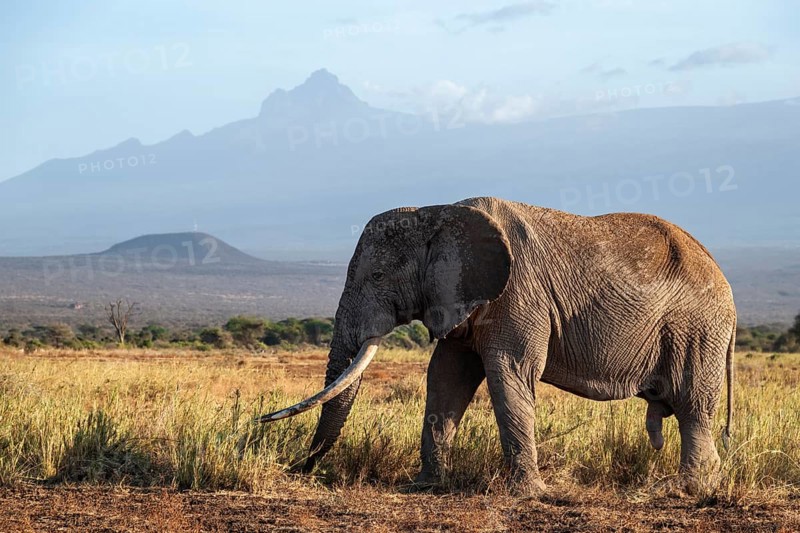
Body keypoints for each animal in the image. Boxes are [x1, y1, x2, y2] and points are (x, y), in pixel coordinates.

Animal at [260, 196, 735, 495]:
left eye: (377, 276)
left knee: (692, 403)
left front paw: (528, 494)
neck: (437, 212)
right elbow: (446, 377)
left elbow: (510, 372)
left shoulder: (517, 293)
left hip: (697, 328)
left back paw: (685, 489)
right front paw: (424, 486)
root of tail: (723, 277)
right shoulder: (461, 297)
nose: (299, 469)